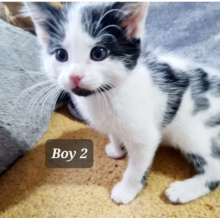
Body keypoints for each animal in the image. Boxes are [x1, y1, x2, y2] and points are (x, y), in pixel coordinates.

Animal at [24, 2, 220, 204]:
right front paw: (116, 149)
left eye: (98, 53)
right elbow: (114, 133)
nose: (74, 76)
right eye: (61, 55)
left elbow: (137, 167)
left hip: (193, 132)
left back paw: (183, 190)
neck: (104, 95)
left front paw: (126, 190)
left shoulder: (146, 136)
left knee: (215, 167)